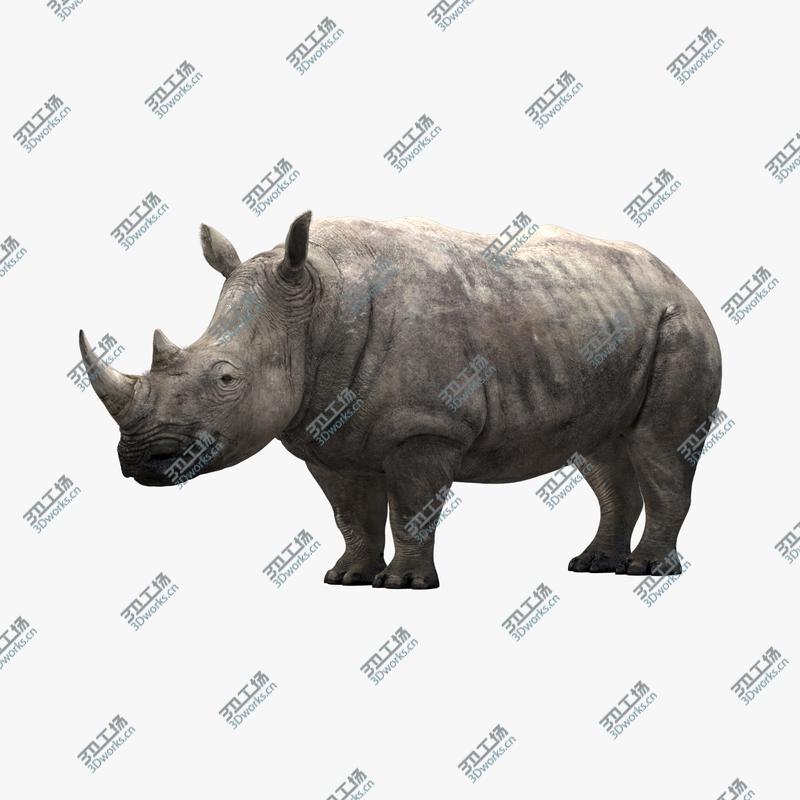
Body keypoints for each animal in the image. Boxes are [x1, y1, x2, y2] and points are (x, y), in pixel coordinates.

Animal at [80, 211, 721, 588]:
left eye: (225, 379)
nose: (138, 459)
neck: (317, 303)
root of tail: (680, 280)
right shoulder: (325, 431)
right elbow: (350, 513)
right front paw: (346, 578)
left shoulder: (428, 425)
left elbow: (412, 507)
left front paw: (404, 585)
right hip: (603, 318)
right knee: (601, 454)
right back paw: (592, 567)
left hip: (679, 326)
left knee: (660, 448)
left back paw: (647, 572)